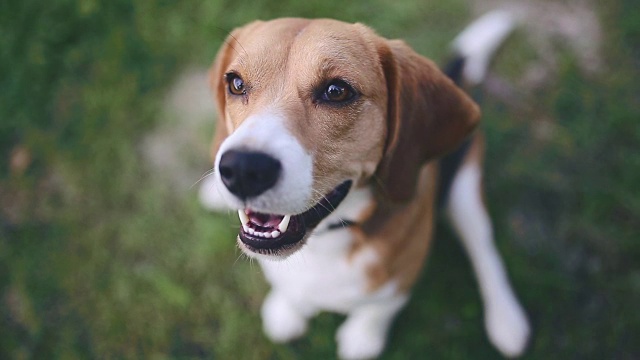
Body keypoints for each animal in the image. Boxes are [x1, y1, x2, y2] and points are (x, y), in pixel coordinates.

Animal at [200, 11, 528, 360]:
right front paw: (287, 310)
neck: (327, 237)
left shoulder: (401, 280)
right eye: (236, 83)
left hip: (465, 191)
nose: (242, 169)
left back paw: (506, 320)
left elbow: (379, 309)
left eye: (336, 91)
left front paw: (363, 336)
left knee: (485, 250)